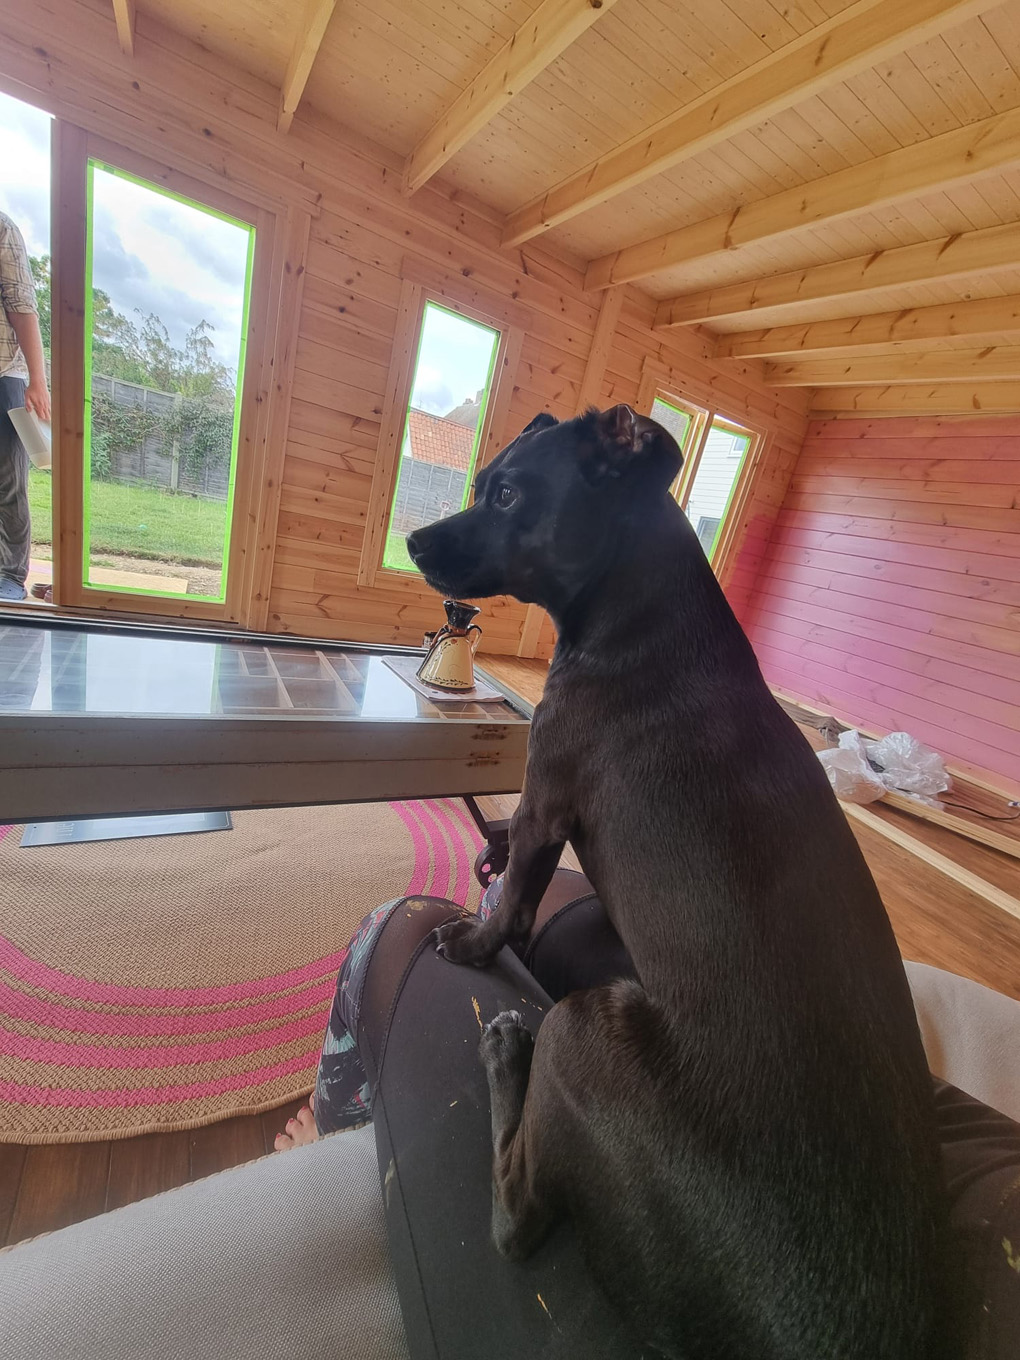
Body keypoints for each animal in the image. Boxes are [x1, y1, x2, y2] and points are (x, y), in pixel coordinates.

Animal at [405, 405, 957, 1360]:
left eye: (508, 494)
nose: (411, 540)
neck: (638, 619)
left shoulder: (547, 800)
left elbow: (513, 903)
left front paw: (474, 939)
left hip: (583, 1027)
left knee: (517, 1218)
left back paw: (507, 1055)